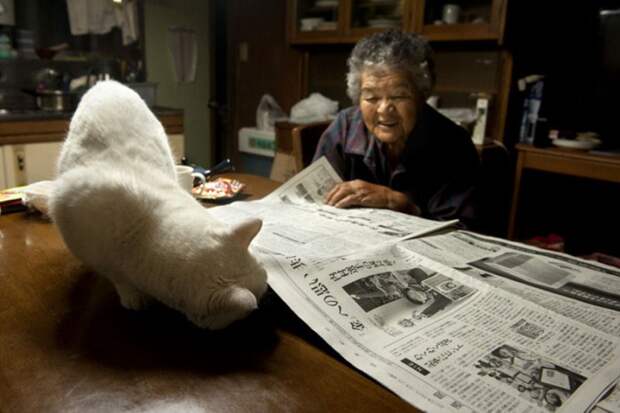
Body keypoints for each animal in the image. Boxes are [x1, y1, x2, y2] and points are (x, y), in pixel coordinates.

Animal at [49, 81, 268, 328]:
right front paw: (132, 295)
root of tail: (107, 82)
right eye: (262, 291)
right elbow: (117, 276)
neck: (144, 233)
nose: (268, 283)